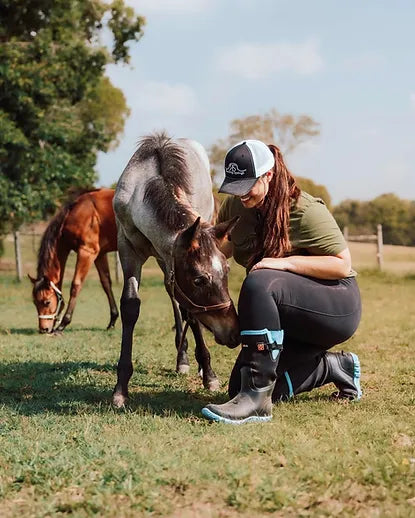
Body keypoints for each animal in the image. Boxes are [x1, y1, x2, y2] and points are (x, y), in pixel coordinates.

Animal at [29, 189, 118, 336]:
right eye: (35, 302)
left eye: (47, 302)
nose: (43, 329)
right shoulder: (99, 255)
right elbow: (106, 283)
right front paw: (112, 321)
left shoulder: (87, 252)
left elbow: (76, 285)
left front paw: (63, 324)